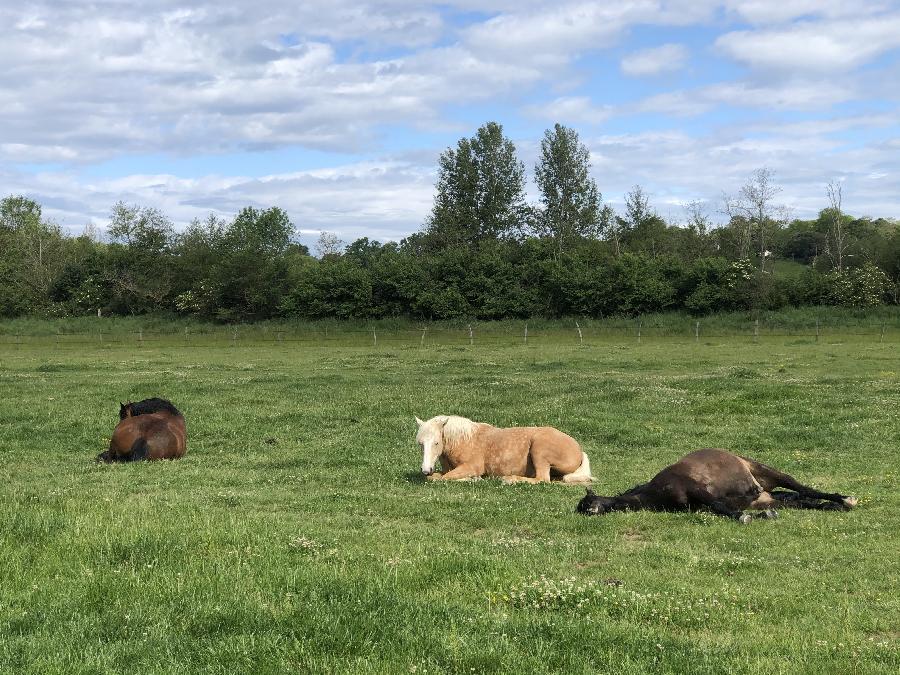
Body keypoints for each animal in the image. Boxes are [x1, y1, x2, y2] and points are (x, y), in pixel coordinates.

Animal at [415, 415, 594, 484]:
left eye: (436, 443)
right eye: (421, 444)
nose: (425, 470)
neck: (464, 440)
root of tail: (579, 450)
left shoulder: (471, 467)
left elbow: (444, 478)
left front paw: (475, 479)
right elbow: (437, 477)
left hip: (539, 450)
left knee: (542, 479)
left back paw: (510, 479)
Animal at [576, 448, 857, 524]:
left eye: (587, 502)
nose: (587, 512)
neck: (656, 492)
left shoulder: (699, 490)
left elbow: (719, 507)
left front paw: (743, 517)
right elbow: (719, 508)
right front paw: (758, 516)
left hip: (772, 474)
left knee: (806, 490)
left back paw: (845, 499)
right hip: (767, 497)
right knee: (803, 501)